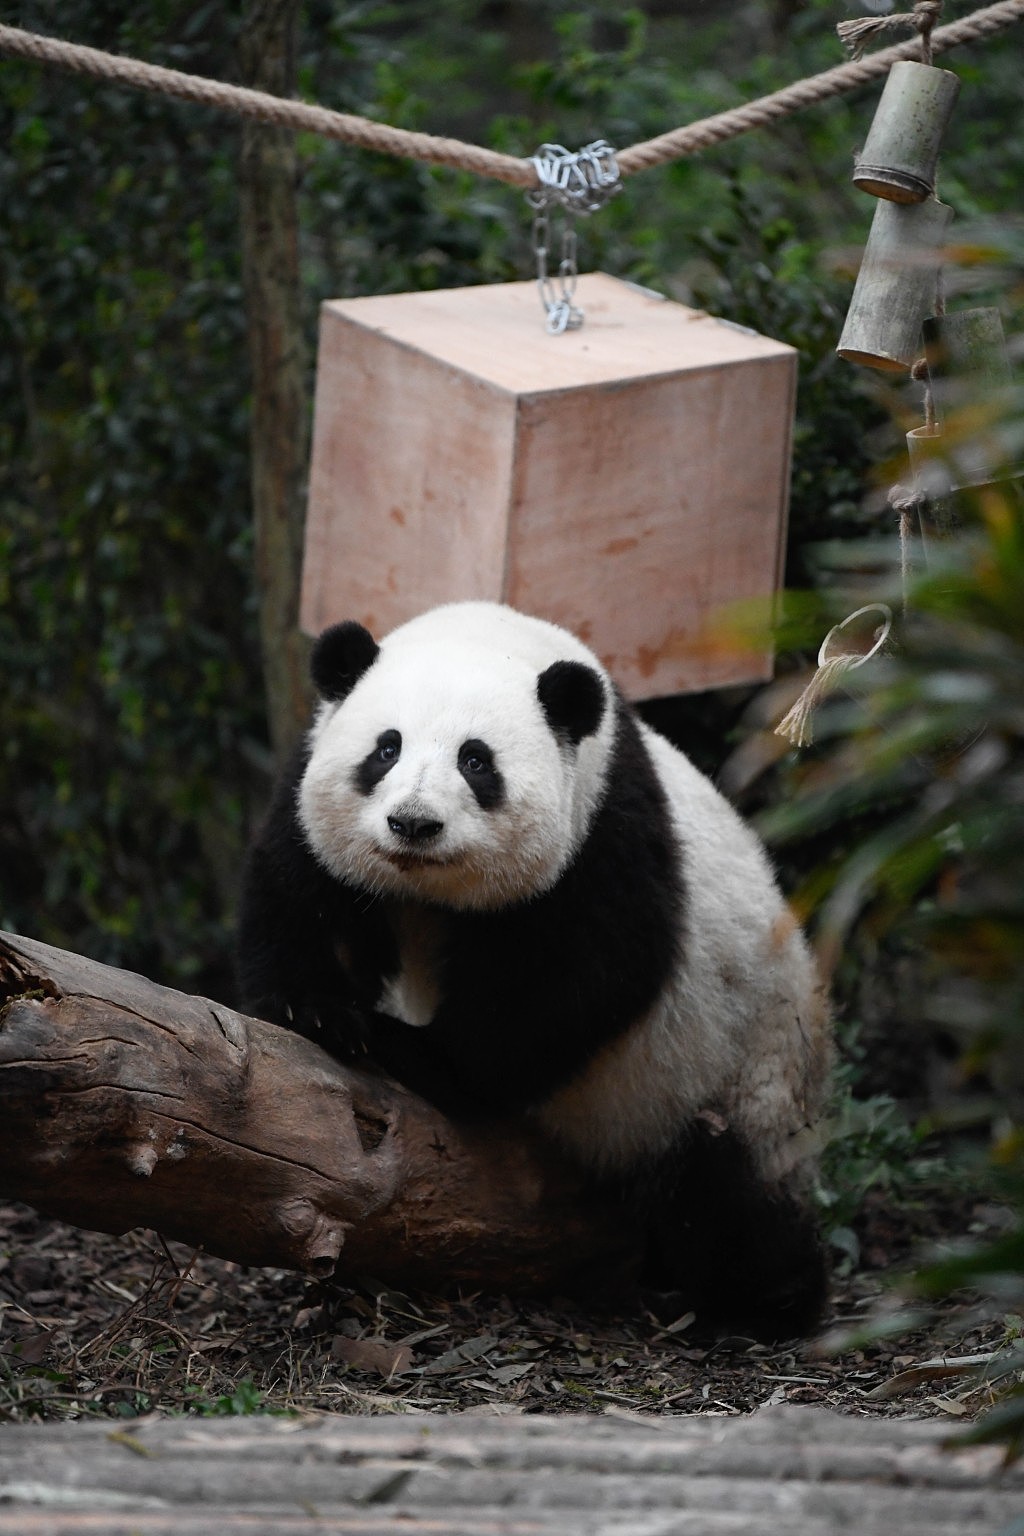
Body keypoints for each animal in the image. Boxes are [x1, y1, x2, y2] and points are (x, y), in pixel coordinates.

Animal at [237, 595, 835, 1333]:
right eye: (386, 748)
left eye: (476, 761)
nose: (413, 824)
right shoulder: (312, 777)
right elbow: (305, 891)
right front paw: (319, 1012)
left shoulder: (602, 828)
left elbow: (578, 977)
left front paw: (422, 1056)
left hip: (737, 1071)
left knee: (730, 1201)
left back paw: (775, 1298)